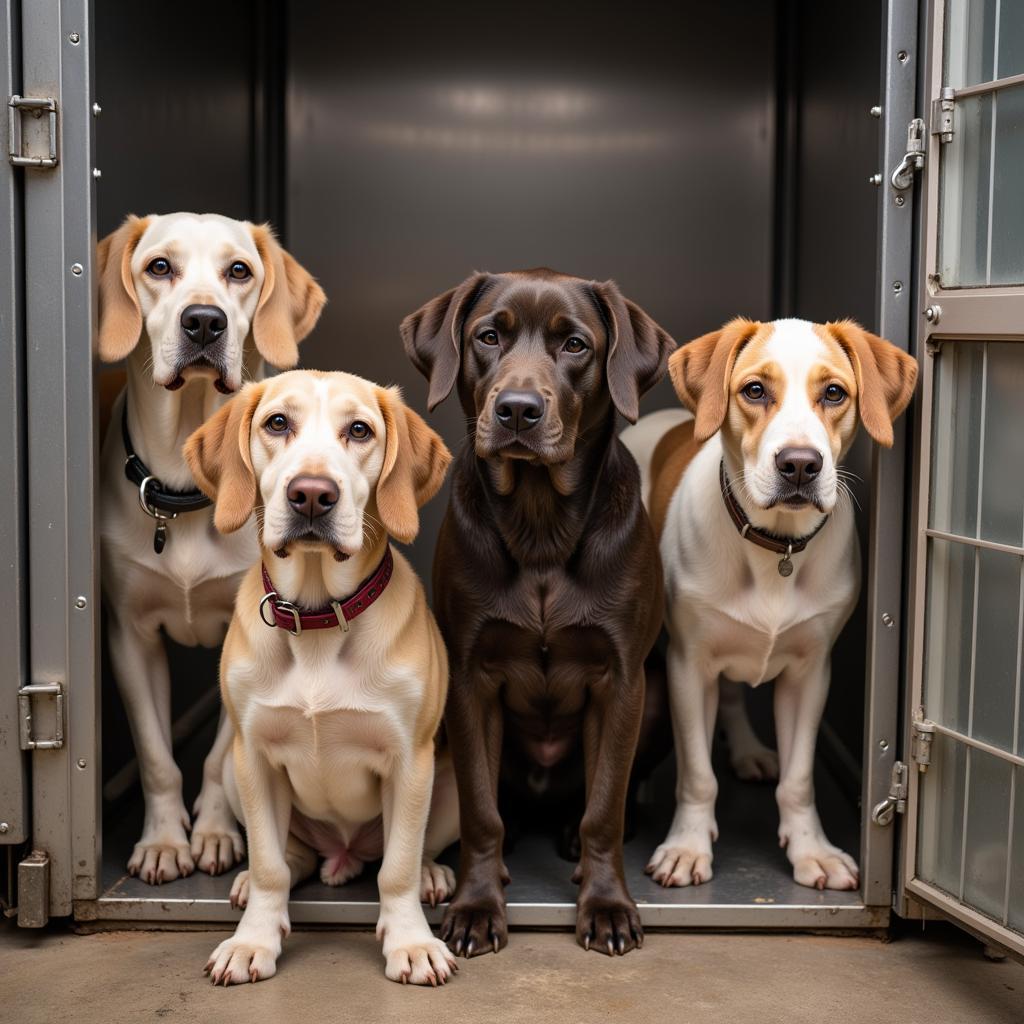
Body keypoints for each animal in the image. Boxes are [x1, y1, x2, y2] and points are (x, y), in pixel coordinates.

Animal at [96, 211, 323, 884]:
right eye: (159, 266)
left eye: (239, 270)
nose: (204, 321)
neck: (189, 491)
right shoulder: (129, 636)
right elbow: (155, 757)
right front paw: (164, 841)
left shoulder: (246, 637)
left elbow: (222, 758)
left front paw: (218, 832)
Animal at [185, 370, 460, 983]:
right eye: (276, 423)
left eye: (359, 430)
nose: (312, 494)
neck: (316, 618)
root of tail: (343, 853)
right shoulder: (255, 757)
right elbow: (270, 865)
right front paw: (253, 940)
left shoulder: (411, 761)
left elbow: (397, 868)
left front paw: (410, 941)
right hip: (235, 775)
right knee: (291, 857)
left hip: (450, 786)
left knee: (411, 853)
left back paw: (431, 874)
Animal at [622, 317, 921, 888]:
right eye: (755, 390)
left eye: (834, 393)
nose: (800, 465)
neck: (776, 547)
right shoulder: (689, 666)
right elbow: (698, 774)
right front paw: (686, 847)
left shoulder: (810, 674)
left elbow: (799, 778)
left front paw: (811, 850)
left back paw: (747, 750)